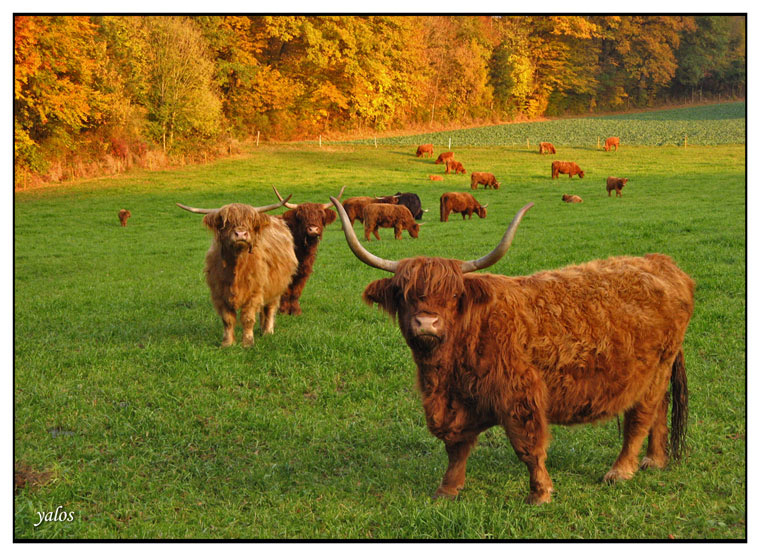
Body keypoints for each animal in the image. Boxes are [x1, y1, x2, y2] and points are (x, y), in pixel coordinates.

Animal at [176, 197, 297, 347]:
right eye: (226, 222)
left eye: (250, 220)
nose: (240, 234)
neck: (236, 267)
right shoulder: (220, 294)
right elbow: (227, 319)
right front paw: (227, 343)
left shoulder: (254, 292)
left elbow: (248, 318)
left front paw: (247, 343)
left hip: (276, 287)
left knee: (270, 308)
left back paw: (268, 331)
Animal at [271, 185, 344, 316]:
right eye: (301, 217)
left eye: (321, 216)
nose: (313, 229)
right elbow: (286, 291)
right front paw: (283, 311)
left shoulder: (304, 271)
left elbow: (296, 291)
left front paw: (295, 311)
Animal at [329, 196, 694, 505]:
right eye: (403, 294)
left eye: (453, 296)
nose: (426, 323)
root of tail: (661, 263)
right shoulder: (453, 404)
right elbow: (456, 447)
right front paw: (447, 489)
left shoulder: (521, 396)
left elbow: (527, 446)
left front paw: (540, 493)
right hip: (654, 372)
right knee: (658, 409)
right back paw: (654, 460)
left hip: (655, 370)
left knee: (640, 417)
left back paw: (620, 470)